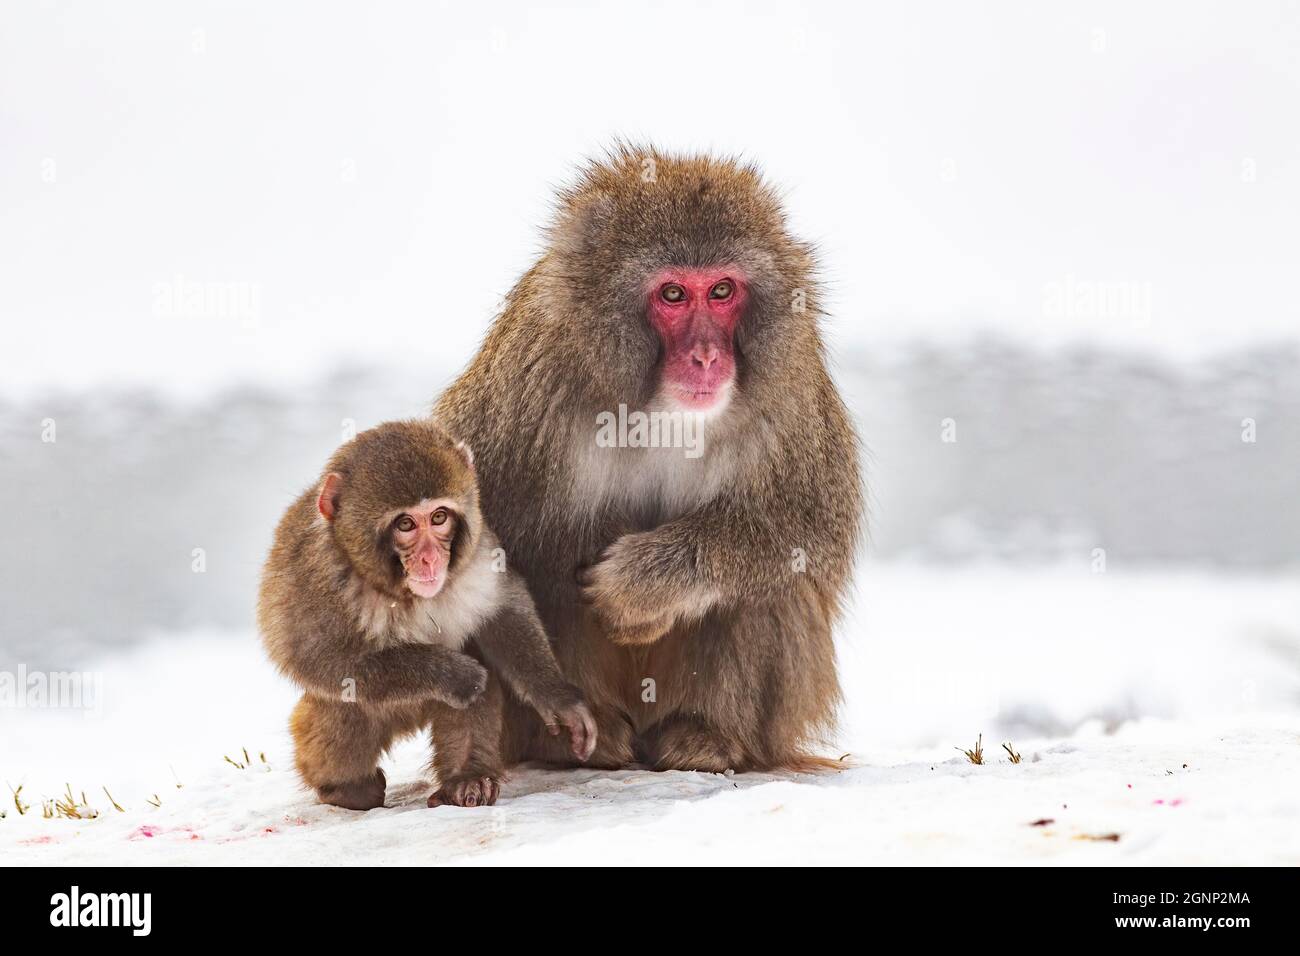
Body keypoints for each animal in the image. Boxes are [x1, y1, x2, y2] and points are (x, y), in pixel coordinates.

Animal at [257, 419, 597, 810]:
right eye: (405, 524)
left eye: (438, 517)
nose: (431, 558)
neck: (402, 593)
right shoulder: (318, 581)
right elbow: (324, 663)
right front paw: (451, 674)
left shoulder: (480, 551)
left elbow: (501, 609)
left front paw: (556, 697)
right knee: (344, 705)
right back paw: (344, 787)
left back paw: (466, 780)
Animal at [433, 144, 862, 773]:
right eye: (674, 294)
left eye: (722, 291)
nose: (707, 356)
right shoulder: (527, 375)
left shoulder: (791, 385)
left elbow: (811, 526)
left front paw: (644, 585)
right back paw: (580, 738)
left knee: (769, 581)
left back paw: (706, 735)